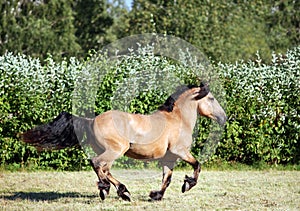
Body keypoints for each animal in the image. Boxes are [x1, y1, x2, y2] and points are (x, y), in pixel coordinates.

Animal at [21, 82, 227, 201]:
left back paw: (122, 191)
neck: (177, 119)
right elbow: (197, 165)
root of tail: (91, 121)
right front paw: (187, 185)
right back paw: (107, 190)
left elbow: (167, 179)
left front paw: (156, 195)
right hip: (115, 150)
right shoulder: (180, 151)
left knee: (105, 169)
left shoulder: (169, 158)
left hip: (109, 152)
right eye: (211, 98)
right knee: (97, 164)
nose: (224, 118)